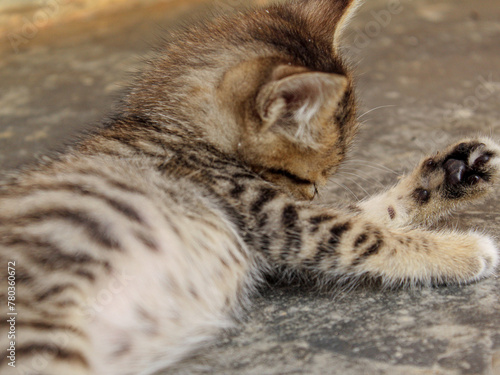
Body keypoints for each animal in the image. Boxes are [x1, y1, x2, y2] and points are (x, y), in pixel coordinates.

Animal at [0, 0, 500, 375]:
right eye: (304, 178)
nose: (311, 194)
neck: (179, 131)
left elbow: (374, 212)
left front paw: (456, 173)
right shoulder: (273, 215)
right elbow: (361, 233)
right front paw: (462, 251)